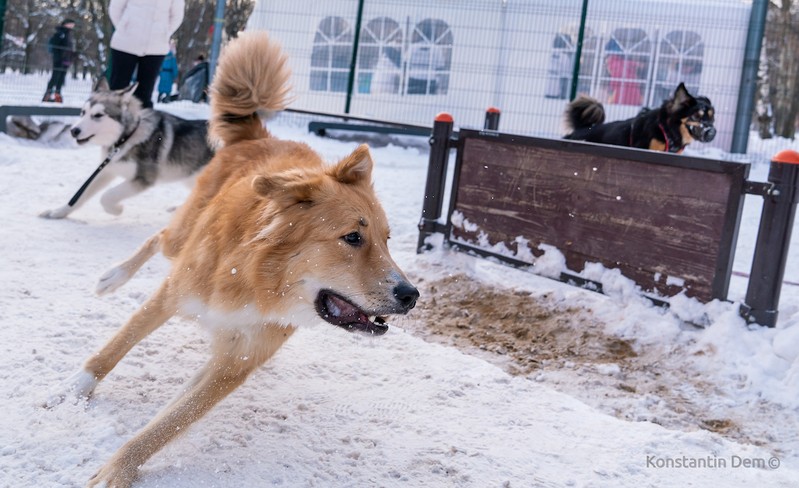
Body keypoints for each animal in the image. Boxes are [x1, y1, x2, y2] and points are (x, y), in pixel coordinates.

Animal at [39, 77, 214, 218]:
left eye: (98, 115)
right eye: (83, 112)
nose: (74, 131)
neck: (126, 138)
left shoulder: (143, 179)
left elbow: (107, 196)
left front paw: (117, 209)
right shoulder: (107, 169)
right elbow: (80, 196)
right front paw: (59, 212)